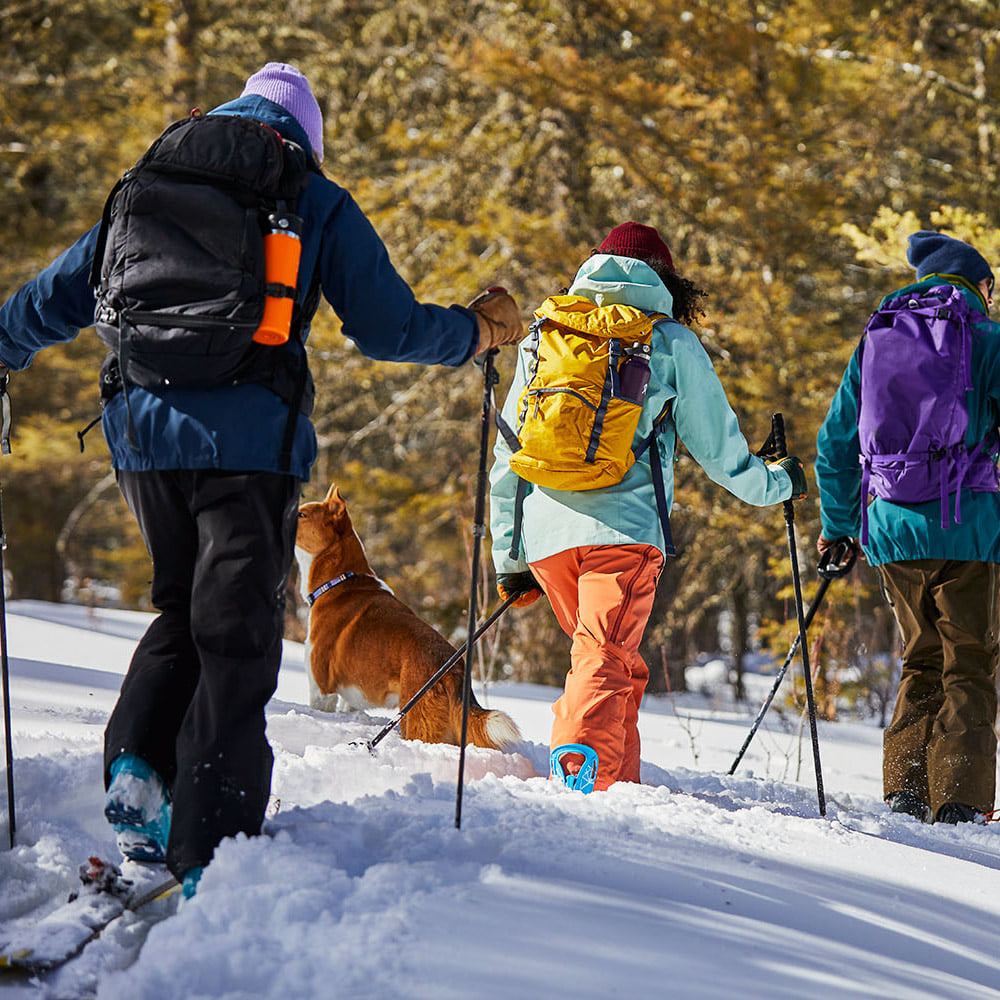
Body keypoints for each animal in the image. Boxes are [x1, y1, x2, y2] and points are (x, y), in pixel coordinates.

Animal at [292, 482, 520, 752]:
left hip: (416, 724)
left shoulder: (322, 688)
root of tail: (452, 670)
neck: (339, 580)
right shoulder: (350, 697)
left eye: (302, 514)